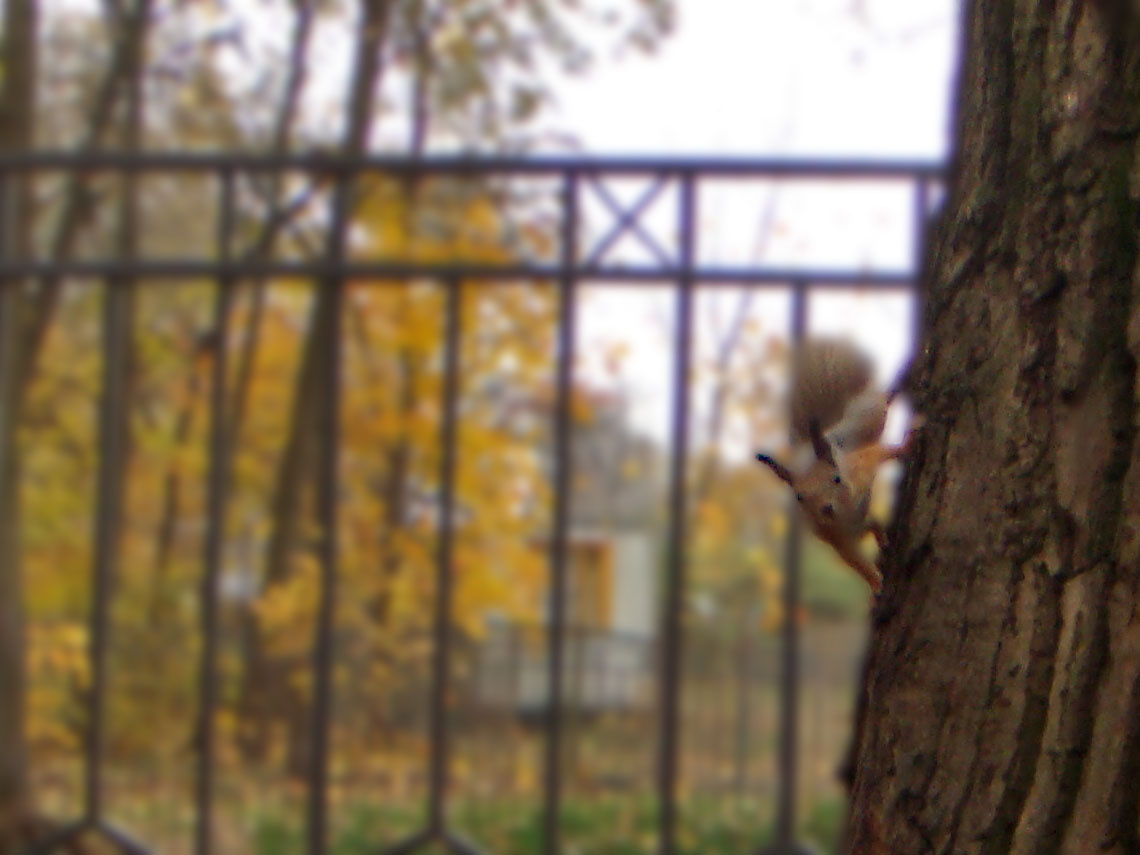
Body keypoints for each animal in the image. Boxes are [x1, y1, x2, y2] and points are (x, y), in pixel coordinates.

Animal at [755, 337, 921, 595]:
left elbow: (879, 454)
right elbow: (855, 561)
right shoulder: (836, 538)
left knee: (883, 401)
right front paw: (876, 584)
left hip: (869, 416)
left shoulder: (860, 469)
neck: (846, 512)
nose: (826, 509)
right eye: (799, 497)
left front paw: (908, 443)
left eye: (837, 479)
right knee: (872, 525)